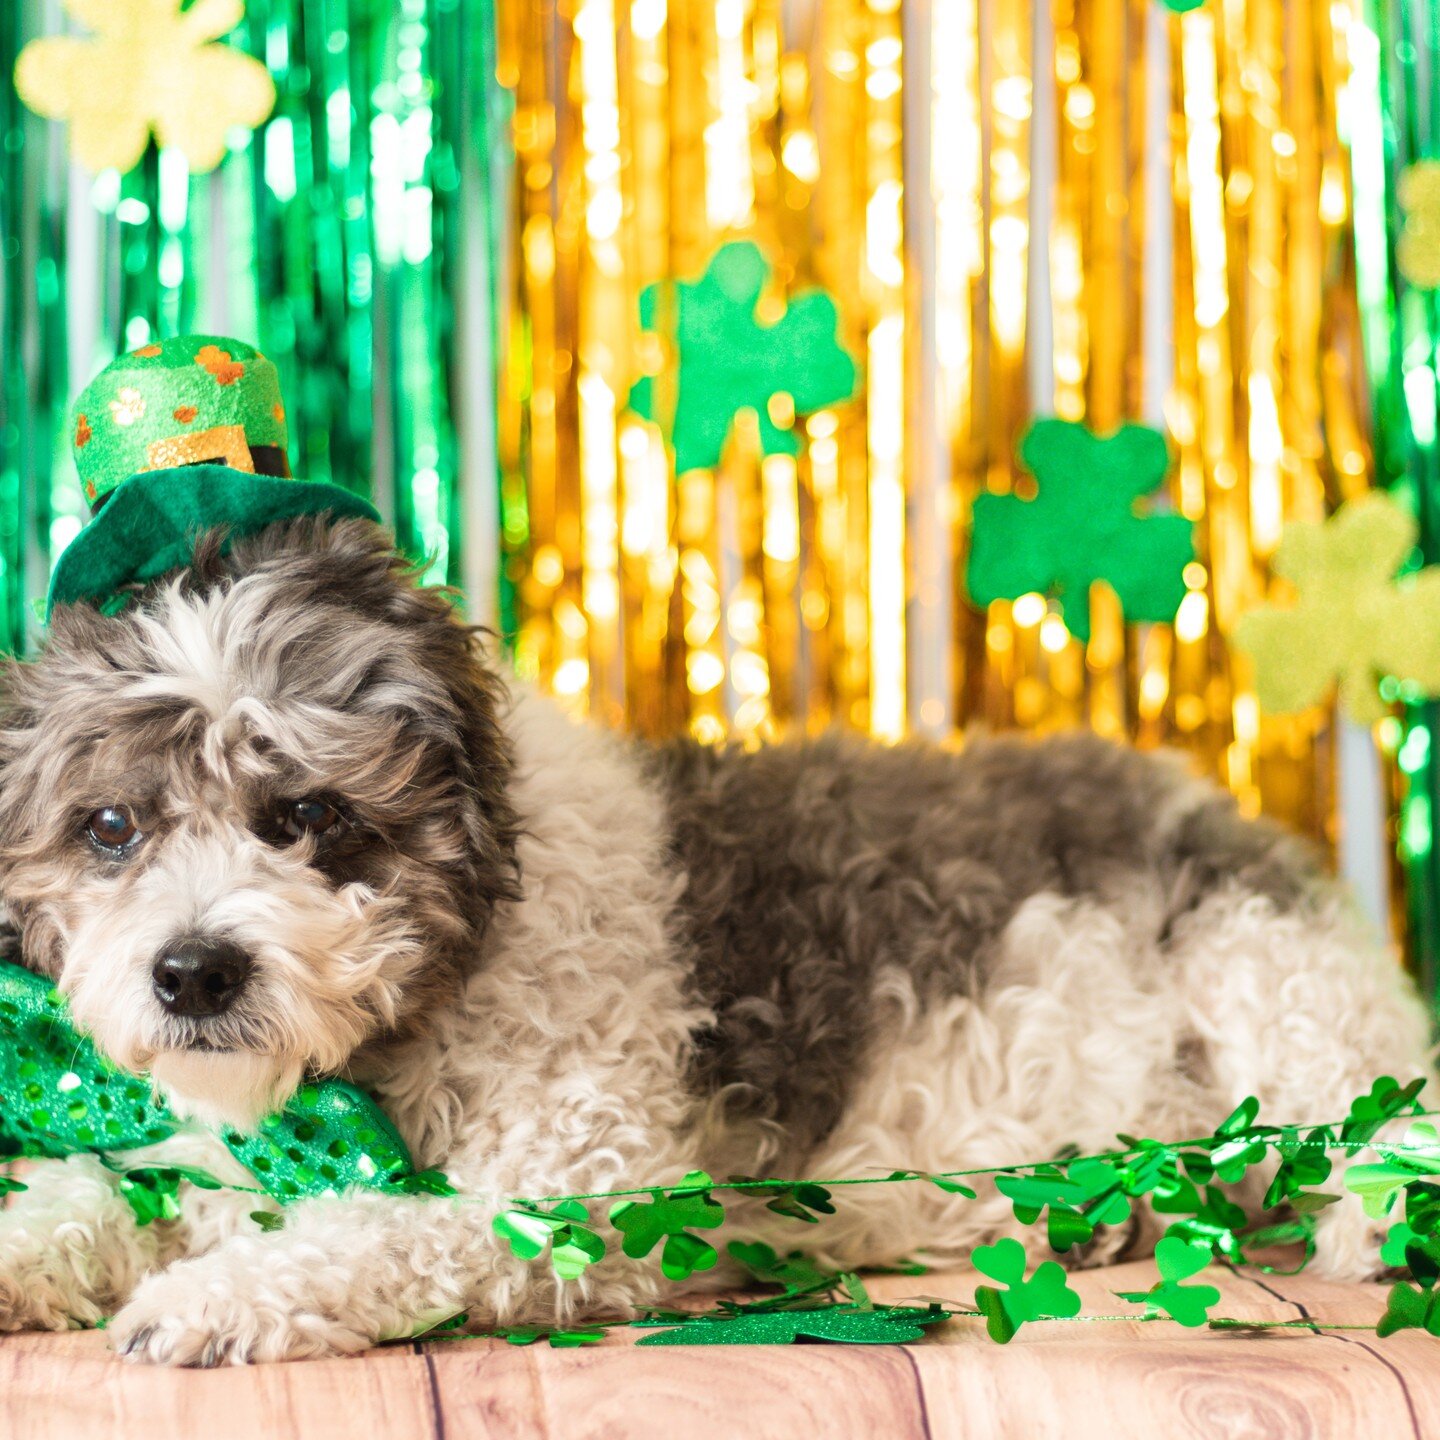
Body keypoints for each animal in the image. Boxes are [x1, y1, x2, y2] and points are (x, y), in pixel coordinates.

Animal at [0, 515, 1428, 1359]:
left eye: (306, 813)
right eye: (111, 826)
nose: (191, 972)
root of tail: (1204, 793)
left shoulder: (581, 1194)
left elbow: (385, 1232)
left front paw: (209, 1299)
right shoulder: (199, 1155)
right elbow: (91, 1195)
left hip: (1265, 971)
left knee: (1376, 1110)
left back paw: (1375, 1221)